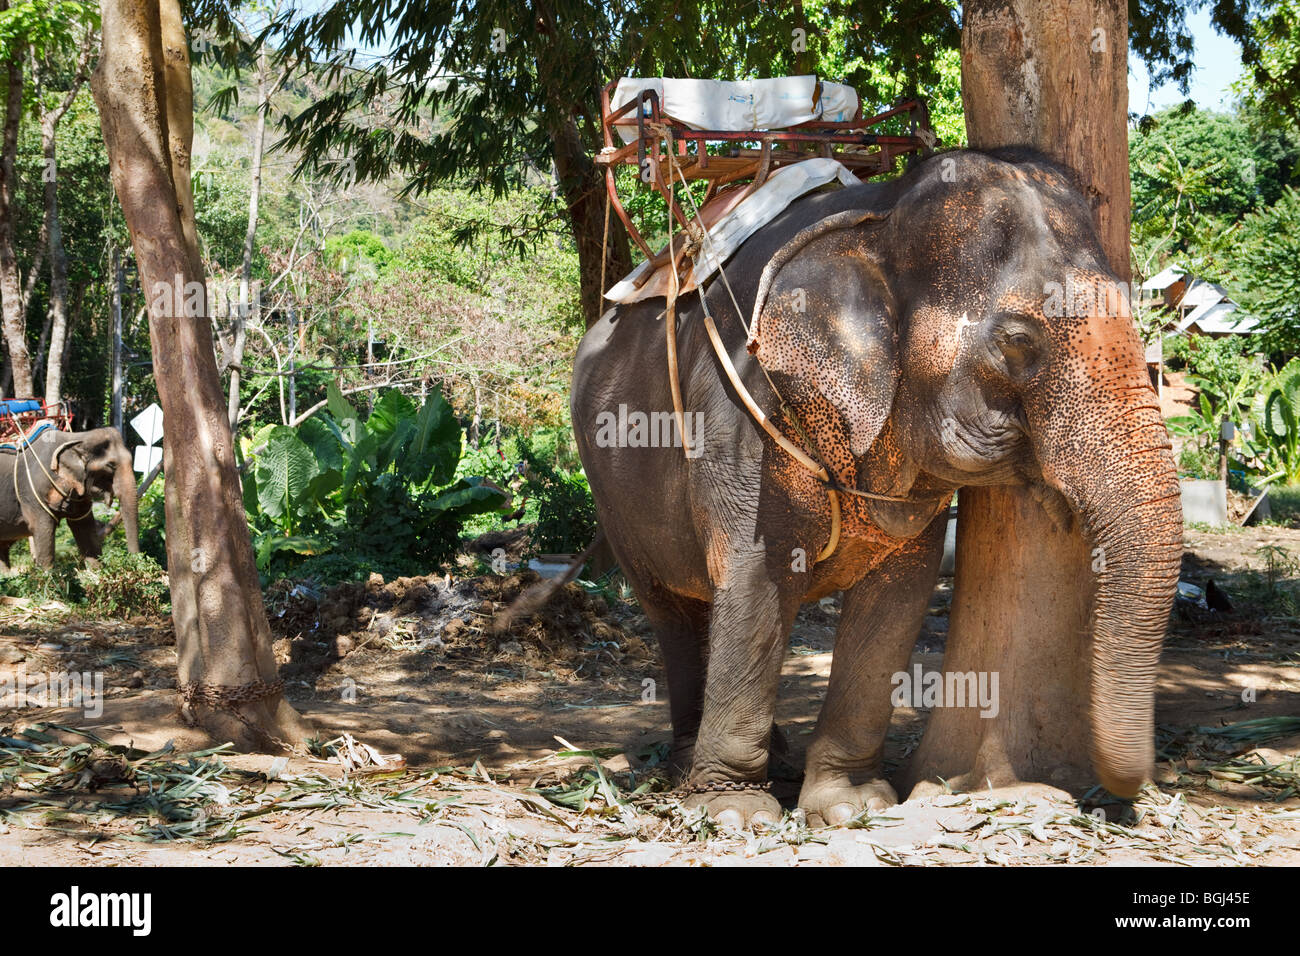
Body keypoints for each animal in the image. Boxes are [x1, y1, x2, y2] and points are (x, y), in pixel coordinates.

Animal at [0, 425, 140, 570]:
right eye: (111, 465)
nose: (134, 561)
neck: (76, 438)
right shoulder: (31, 492)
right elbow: (42, 528)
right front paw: (46, 575)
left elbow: (84, 528)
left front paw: (97, 572)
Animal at [571, 148, 1181, 828]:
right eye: (1020, 340)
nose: (1125, 795)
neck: (881, 214)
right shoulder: (740, 411)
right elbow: (756, 578)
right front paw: (736, 812)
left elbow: (899, 596)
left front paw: (849, 804)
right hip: (613, 492)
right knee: (673, 609)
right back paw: (688, 767)